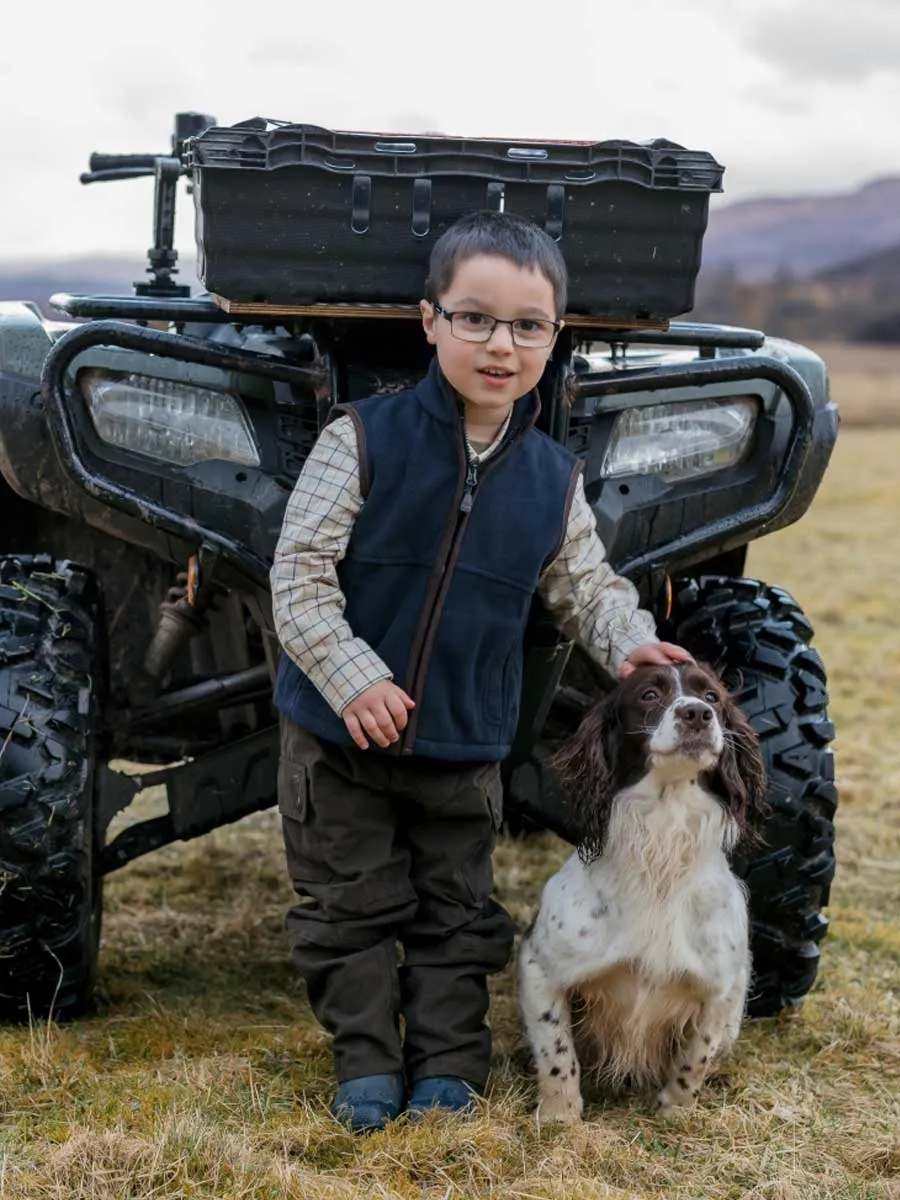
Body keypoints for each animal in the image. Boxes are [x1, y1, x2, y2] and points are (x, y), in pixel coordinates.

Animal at [520, 662, 768, 1118]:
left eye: (712, 697)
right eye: (649, 695)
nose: (696, 713)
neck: (660, 856)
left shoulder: (722, 988)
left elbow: (695, 1057)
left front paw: (676, 1112)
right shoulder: (539, 967)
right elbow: (556, 1052)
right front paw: (560, 1116)